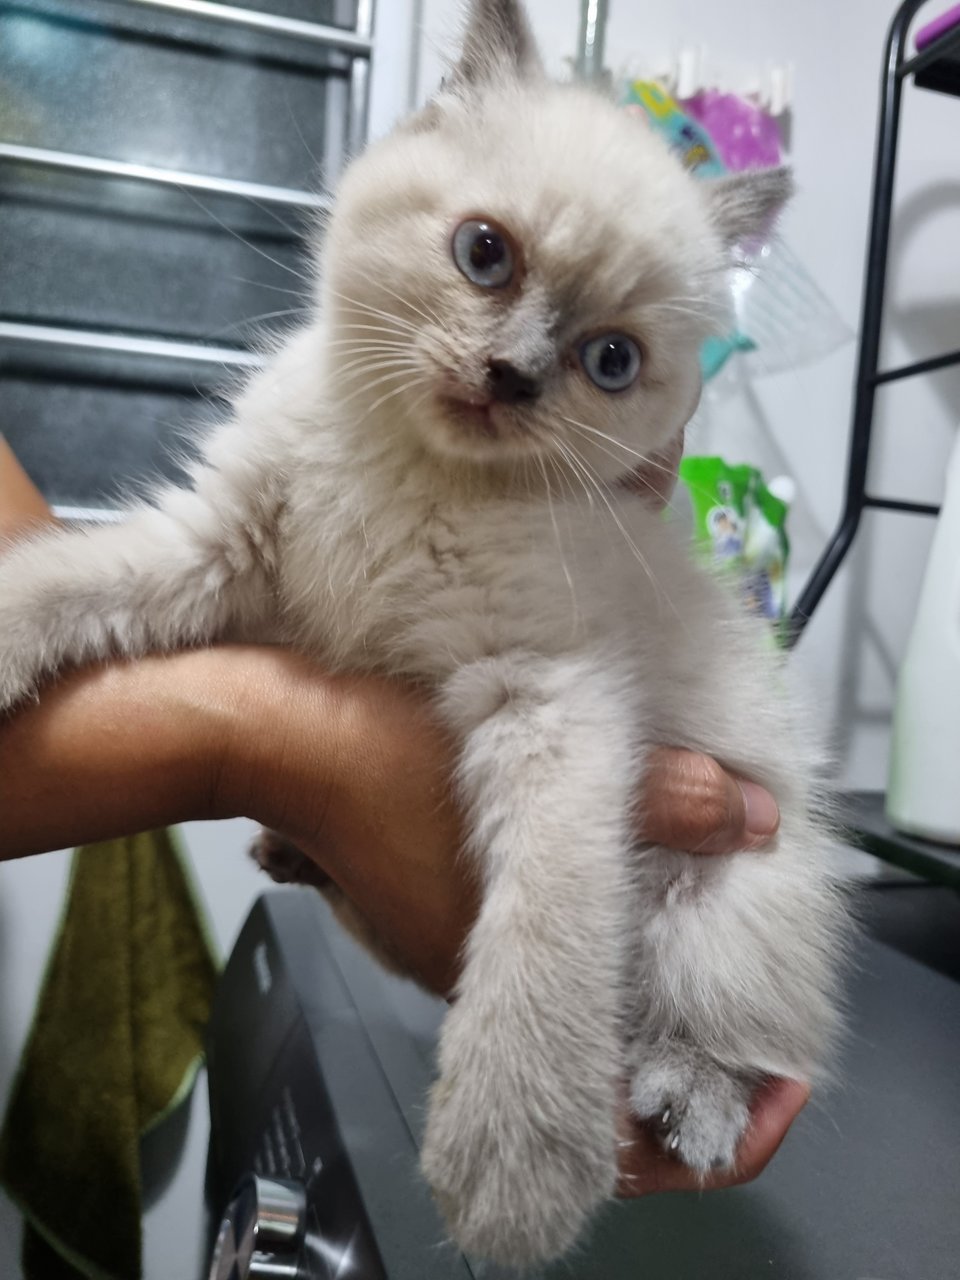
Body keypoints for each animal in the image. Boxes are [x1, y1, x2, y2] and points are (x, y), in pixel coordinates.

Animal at [0, 0, 844, 1259]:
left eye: (610, 360)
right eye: (485, 253)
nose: (512, 376)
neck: (414, 474)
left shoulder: (552, 699)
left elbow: (545, 933)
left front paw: (518, 1158)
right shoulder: (213, 551)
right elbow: (65, 579)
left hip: (729, 890)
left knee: (737, 1025)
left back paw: (687, 1096)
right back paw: (294, 852)